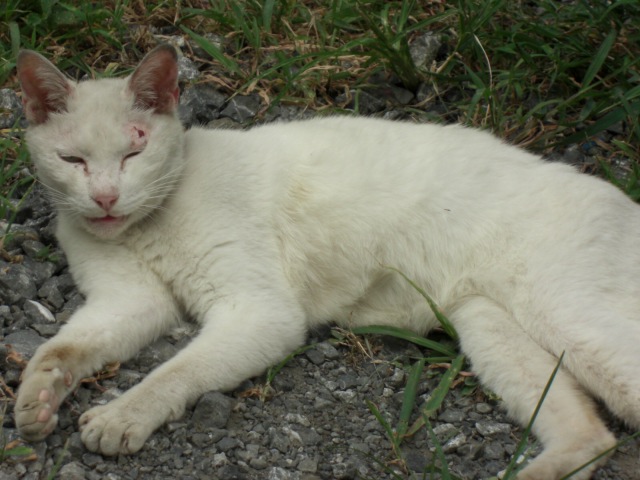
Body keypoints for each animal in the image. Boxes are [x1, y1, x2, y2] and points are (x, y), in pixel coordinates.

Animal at [13, 44, 640, 480]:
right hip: (490, 326)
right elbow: (65, 347)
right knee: (589, 435)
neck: (144, 229)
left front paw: (122, 416)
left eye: (135, 149)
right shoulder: (128, 301)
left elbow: (174, 372)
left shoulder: (258, 311)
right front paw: (37, 402)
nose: (105, 198)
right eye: (72, 160)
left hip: (563, 314)